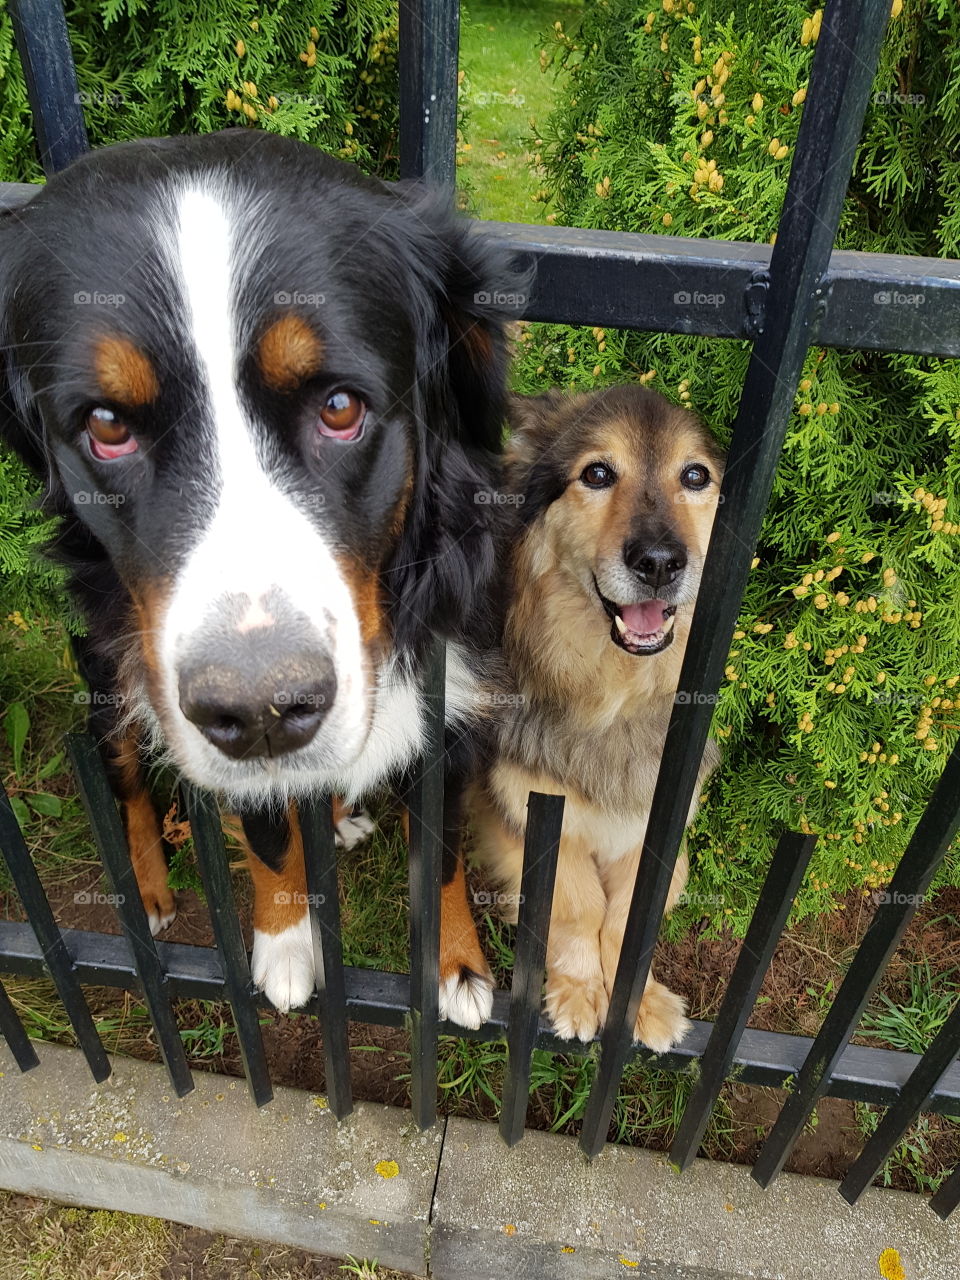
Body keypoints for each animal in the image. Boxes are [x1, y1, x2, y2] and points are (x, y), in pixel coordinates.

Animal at [0, 129, 514, 1029]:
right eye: (107, 426)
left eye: (340, 407)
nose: (263, 711)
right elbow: (269, 834)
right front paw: (284, 946)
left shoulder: (453, 712)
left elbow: (445, 858)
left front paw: (455, 967)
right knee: (126, 780)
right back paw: (151, 891)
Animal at [471, 386, 727, 1049]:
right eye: (597, 474)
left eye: (695, 476)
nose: (660, 562)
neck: (615, 697)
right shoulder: (529, 814)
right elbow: (580, 904)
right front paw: (580, 991)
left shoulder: (656, 830)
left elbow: (626, 919)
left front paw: (639, 1003)